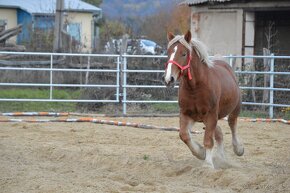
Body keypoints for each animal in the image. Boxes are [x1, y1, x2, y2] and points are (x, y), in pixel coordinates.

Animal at [163, 30, 245, 168]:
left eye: (184, 54)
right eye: (168, 53)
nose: (169, 79)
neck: (195, 88)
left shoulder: (211, 115)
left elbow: (208, 140)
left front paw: (207, 164)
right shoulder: (186, 114)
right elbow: (184, 135)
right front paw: (201, 153)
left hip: (234, 108)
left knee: (232, 124)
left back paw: (238, 149)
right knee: (219, 133)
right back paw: (221, 158)